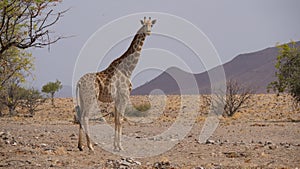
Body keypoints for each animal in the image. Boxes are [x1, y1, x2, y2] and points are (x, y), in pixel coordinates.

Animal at [75, 17, 157, 152]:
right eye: (144, 25)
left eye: (152, 25)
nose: (149, 32)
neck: (128, 69)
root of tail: (79, 82)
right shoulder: (124, 96)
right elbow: (121, 120)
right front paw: (120, 146)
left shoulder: (117, 98)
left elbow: (115, 120)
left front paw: (115, 145)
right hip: (91, 97)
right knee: (85, 117)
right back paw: (90, 146)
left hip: (82, 98)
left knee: (80, 116)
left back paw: (80, 146)